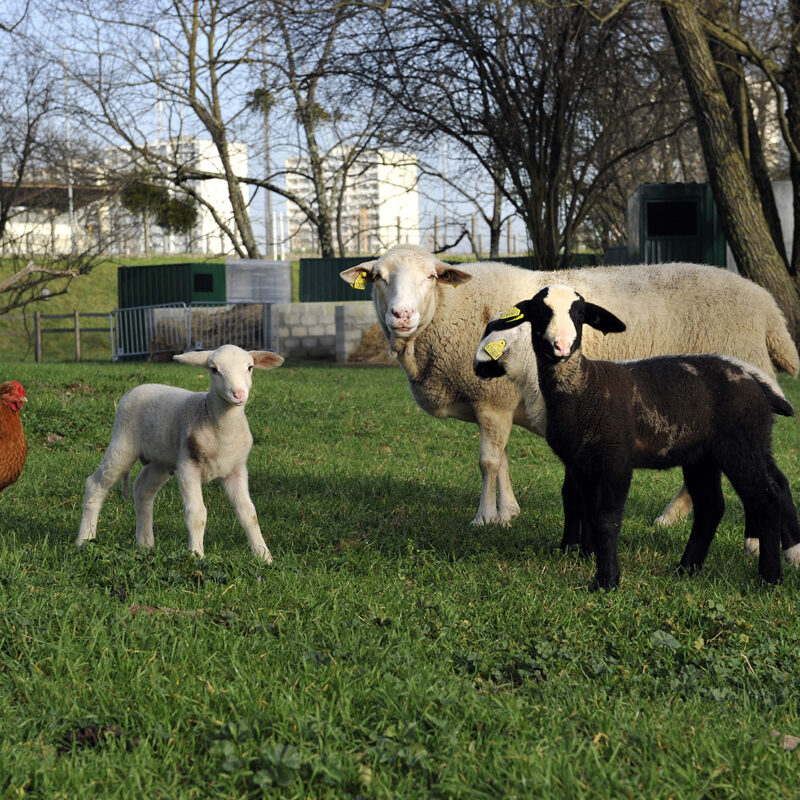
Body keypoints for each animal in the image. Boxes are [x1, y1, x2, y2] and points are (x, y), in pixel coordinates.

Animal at [77, 346, 284, 564]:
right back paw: (85, 540)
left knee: (142, 489)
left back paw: (145, 544)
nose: (238, 394)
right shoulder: (188, 466)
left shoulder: (236, 470)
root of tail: (137, 388)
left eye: (250, 367)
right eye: (214, 369)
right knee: (95, 485)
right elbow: (197, 514)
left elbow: (249, 514)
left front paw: (264, 556)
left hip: (161, 460)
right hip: (123, 443)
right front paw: (197, 555)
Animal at [340, 247, 800, 528]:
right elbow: (502, 460)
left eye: (432, 277)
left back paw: (670, 516)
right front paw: (509, 513)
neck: (449, 312)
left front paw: (484, 518)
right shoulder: (500, 402)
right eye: (378, 277)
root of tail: (767, 307)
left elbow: (488, 462)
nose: (401, 315)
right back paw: (674, 516)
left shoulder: (492, 400)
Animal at [472, 286, 796, 588]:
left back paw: (770, 577)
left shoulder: (616, 458)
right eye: (540, 312)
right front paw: (588, 556)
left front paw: (606, 580)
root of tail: (757, 382)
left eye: (580, 313)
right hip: (703, 455)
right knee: (711, 507)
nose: (561, 346)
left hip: (741, 445)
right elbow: (587, 510)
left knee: (765, 499)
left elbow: (607, 518)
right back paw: (687, 569)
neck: (585, 388)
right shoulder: (580, 463)